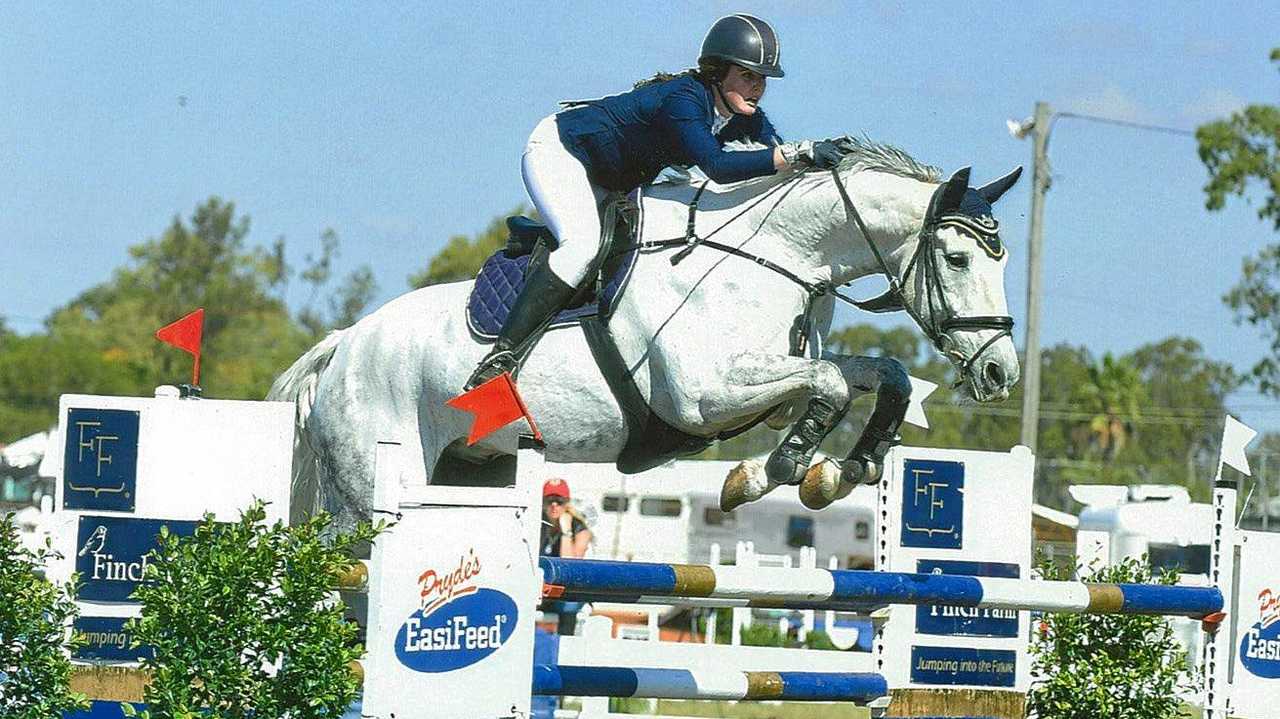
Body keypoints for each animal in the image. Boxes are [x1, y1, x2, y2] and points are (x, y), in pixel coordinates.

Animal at [267, 140, 1018, 532]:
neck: (774, 252)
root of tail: (344, 346)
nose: (1001, 372)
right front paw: (768, 474)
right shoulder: (703, 396)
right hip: (368, 496)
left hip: (464, 471)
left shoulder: (775, 373)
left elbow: (880, 374)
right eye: (958, 259)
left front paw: (845, 469)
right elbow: (830, 385)